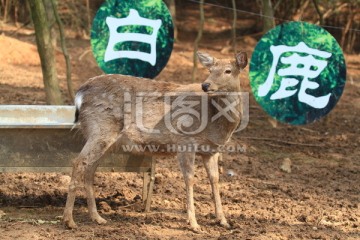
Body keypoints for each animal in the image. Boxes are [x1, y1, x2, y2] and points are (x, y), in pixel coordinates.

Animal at [63, 51, 246, 232]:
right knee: (78, 162)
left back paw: (97, 217)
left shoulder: (211, 150)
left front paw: (223, 221)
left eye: (228, 71)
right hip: (100, 129)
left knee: (90, 168)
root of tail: (80, 94)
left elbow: (215, 179)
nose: (206, 85)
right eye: (210, 70)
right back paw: (69, 220)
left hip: (103, 138)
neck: (216, 124)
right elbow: (189, 179)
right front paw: (194, 224)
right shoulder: (185, 141)